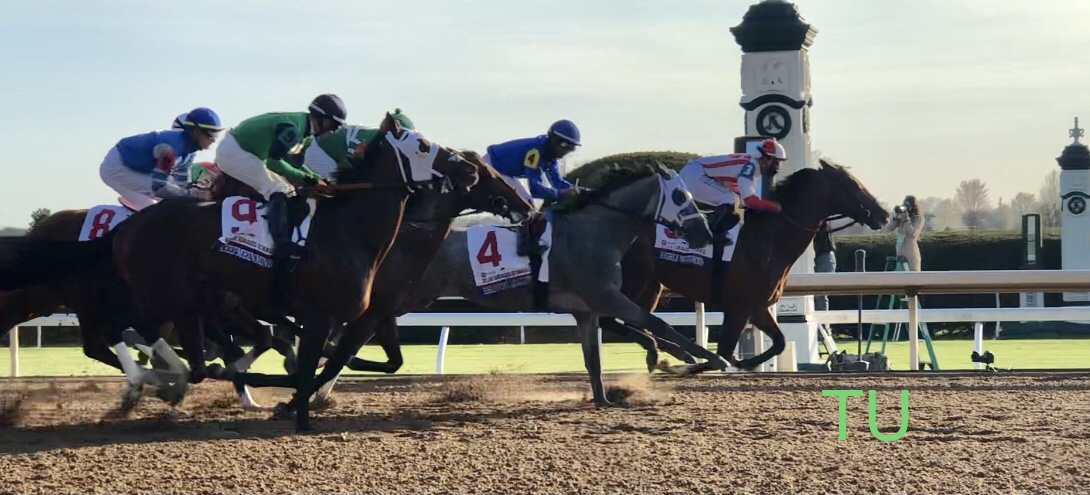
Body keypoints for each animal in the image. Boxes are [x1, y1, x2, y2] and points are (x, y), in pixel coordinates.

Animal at [601, 160, 889, 372]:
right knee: (611, 321)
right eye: (853, 185)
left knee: (633, 323)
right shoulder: (739, 307)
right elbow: (724, 352)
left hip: (651, 287)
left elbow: (779, 342)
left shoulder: (757, 306)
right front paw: (710, 363)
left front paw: (744, 362)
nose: (884, 214)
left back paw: (668, 354)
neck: (770, 238)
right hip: (634, 281)